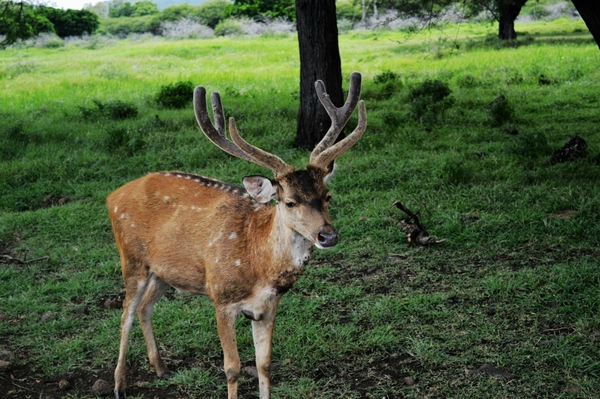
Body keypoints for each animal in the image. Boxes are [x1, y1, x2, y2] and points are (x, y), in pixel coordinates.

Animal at [108, 72, 368, 399]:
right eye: (289, 202)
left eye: (327, 196)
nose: (327, 236)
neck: (259, 267)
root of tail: (111, 196)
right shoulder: (221, 298)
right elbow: (232, 368)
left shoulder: (268, 306)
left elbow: (264, 365)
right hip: (131, 259)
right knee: (125, 313)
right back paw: (119, 384)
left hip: (164, 272)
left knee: (145, 307)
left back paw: (161, 368)